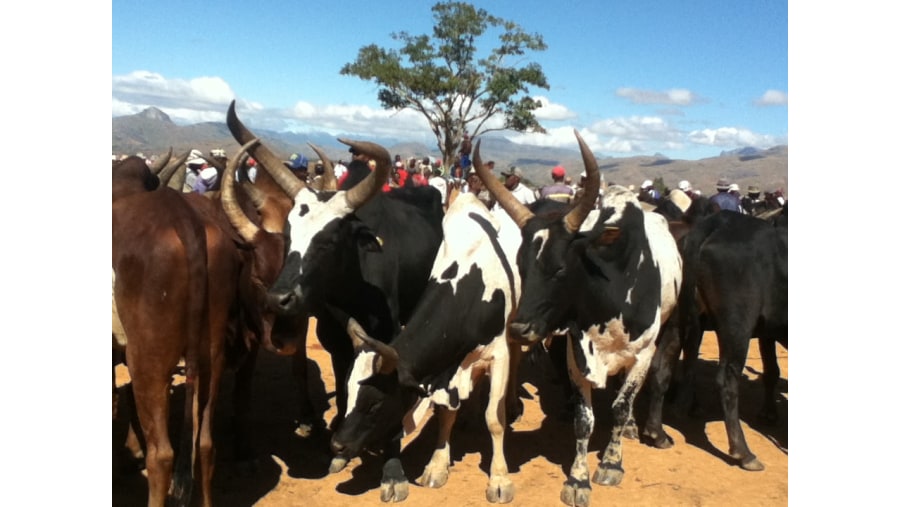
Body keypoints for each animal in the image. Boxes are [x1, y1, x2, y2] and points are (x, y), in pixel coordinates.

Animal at [328, 190, 520, 504]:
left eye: (375, 403)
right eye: (347, 392)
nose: (338, 445)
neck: (467, 284)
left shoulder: (498, 353)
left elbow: (495, 418)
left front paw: (500, 479)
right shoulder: (449, 368)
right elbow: (445, 413)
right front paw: (437, 465)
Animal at [474, 134, 680, 507]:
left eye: (559, 269)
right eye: (521, 265)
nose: (520, 329)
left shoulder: (642, 354)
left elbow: (620, 407)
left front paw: (611, 463)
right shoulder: (576, 350)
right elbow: (585, 421)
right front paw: (578, 479)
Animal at [640, 209, 788, 472]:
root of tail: (715, 224)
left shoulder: (768, 331)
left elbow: (772, 371)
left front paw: (769, 413)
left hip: (679, 320)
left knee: (661, 366)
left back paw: (657, 432)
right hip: (737, 325)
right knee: (727, 379)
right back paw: (743, 452)